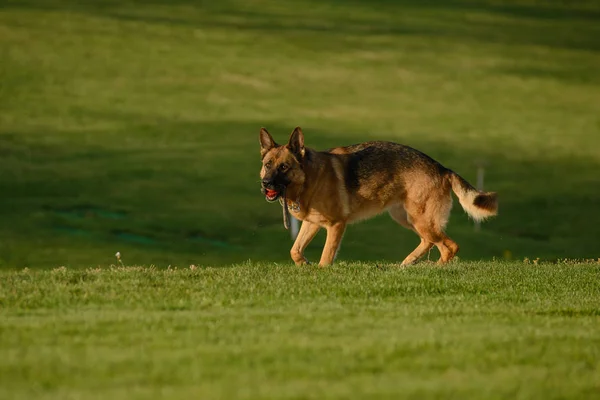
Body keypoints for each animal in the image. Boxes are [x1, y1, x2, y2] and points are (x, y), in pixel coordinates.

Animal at [258, 126, 496, 268]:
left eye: (284, 167)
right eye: (268, 165)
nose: (265, 184)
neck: (309, 177)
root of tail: (442, 168)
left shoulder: (336, 225)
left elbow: (326, 257)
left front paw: (321, 272)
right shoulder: (312, 223)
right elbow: (295, 250)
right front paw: (304, 265)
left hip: (421, 220)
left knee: (450, 246)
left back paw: (435, 270)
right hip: (408, 218)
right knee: (431, 242)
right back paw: (407, 264)